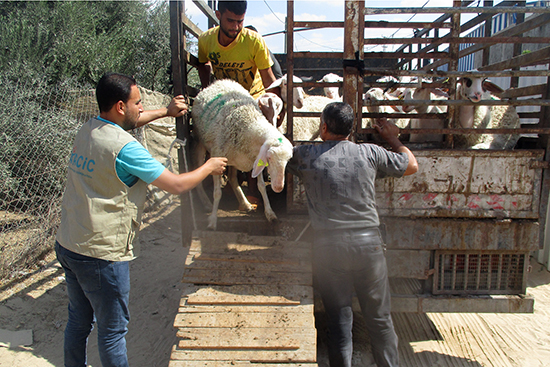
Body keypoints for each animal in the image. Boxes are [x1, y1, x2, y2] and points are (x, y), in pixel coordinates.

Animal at [192, 80, 296, 230]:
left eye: (288, 160)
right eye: (270, 157)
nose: (278, 187)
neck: (248, 122)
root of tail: (218, 82)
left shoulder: (256, 159)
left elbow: (261, 186)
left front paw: (270, 213)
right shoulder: (217, 157)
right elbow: (217, 192)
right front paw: (212, 221)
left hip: (234, 159)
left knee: (232, 178)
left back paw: (245, 203)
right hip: (201, 142)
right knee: (198, 171)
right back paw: (206, 203)